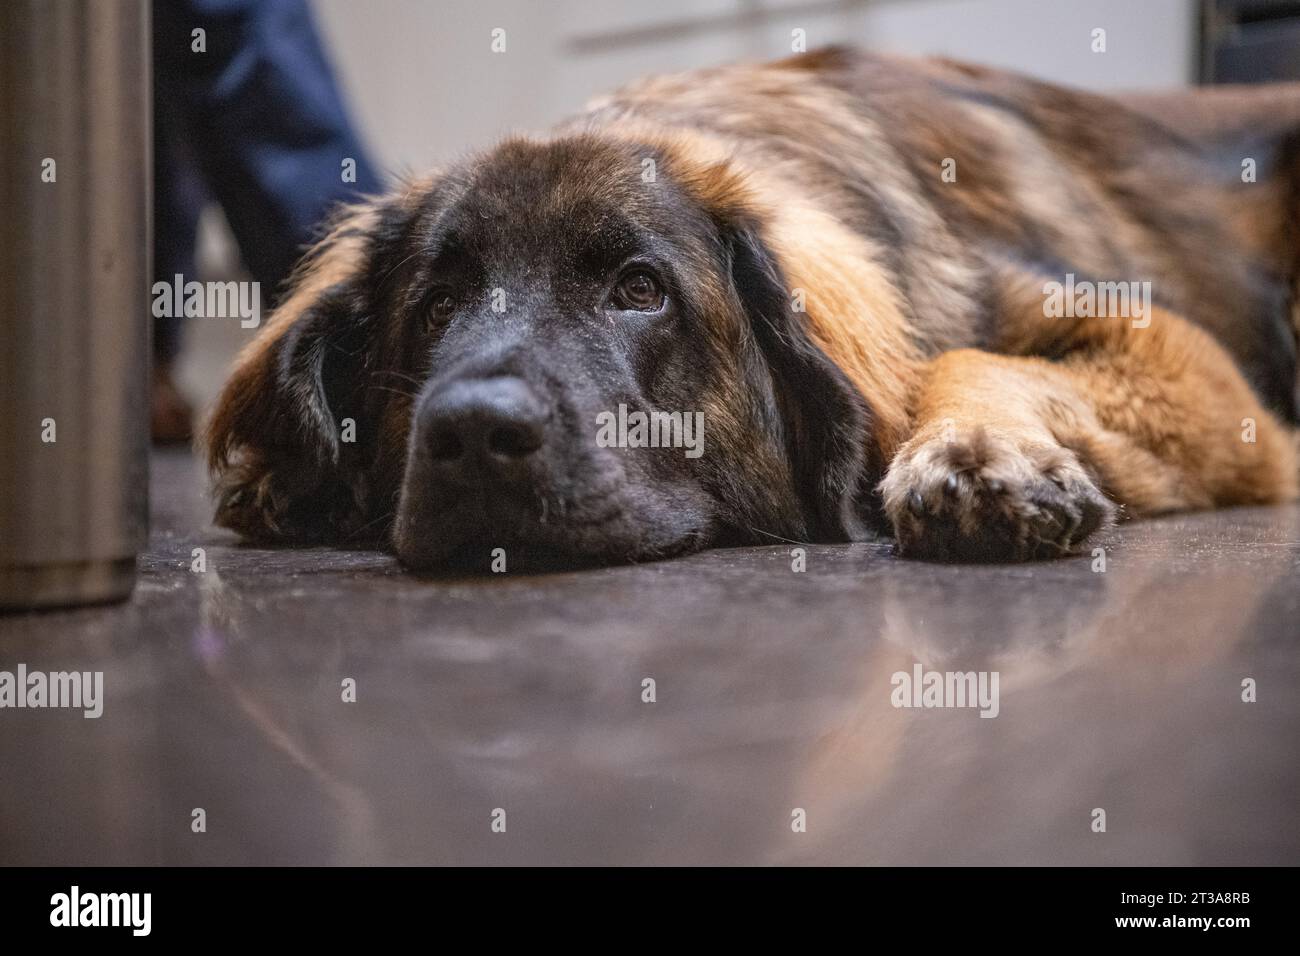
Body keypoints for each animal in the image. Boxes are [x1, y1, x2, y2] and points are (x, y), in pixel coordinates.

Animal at [202, 48, 1300, 567]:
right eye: (437, 305)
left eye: (638, 291)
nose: (474, 430)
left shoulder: (1181, 358)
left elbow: (959, 357)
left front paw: (980, 452)